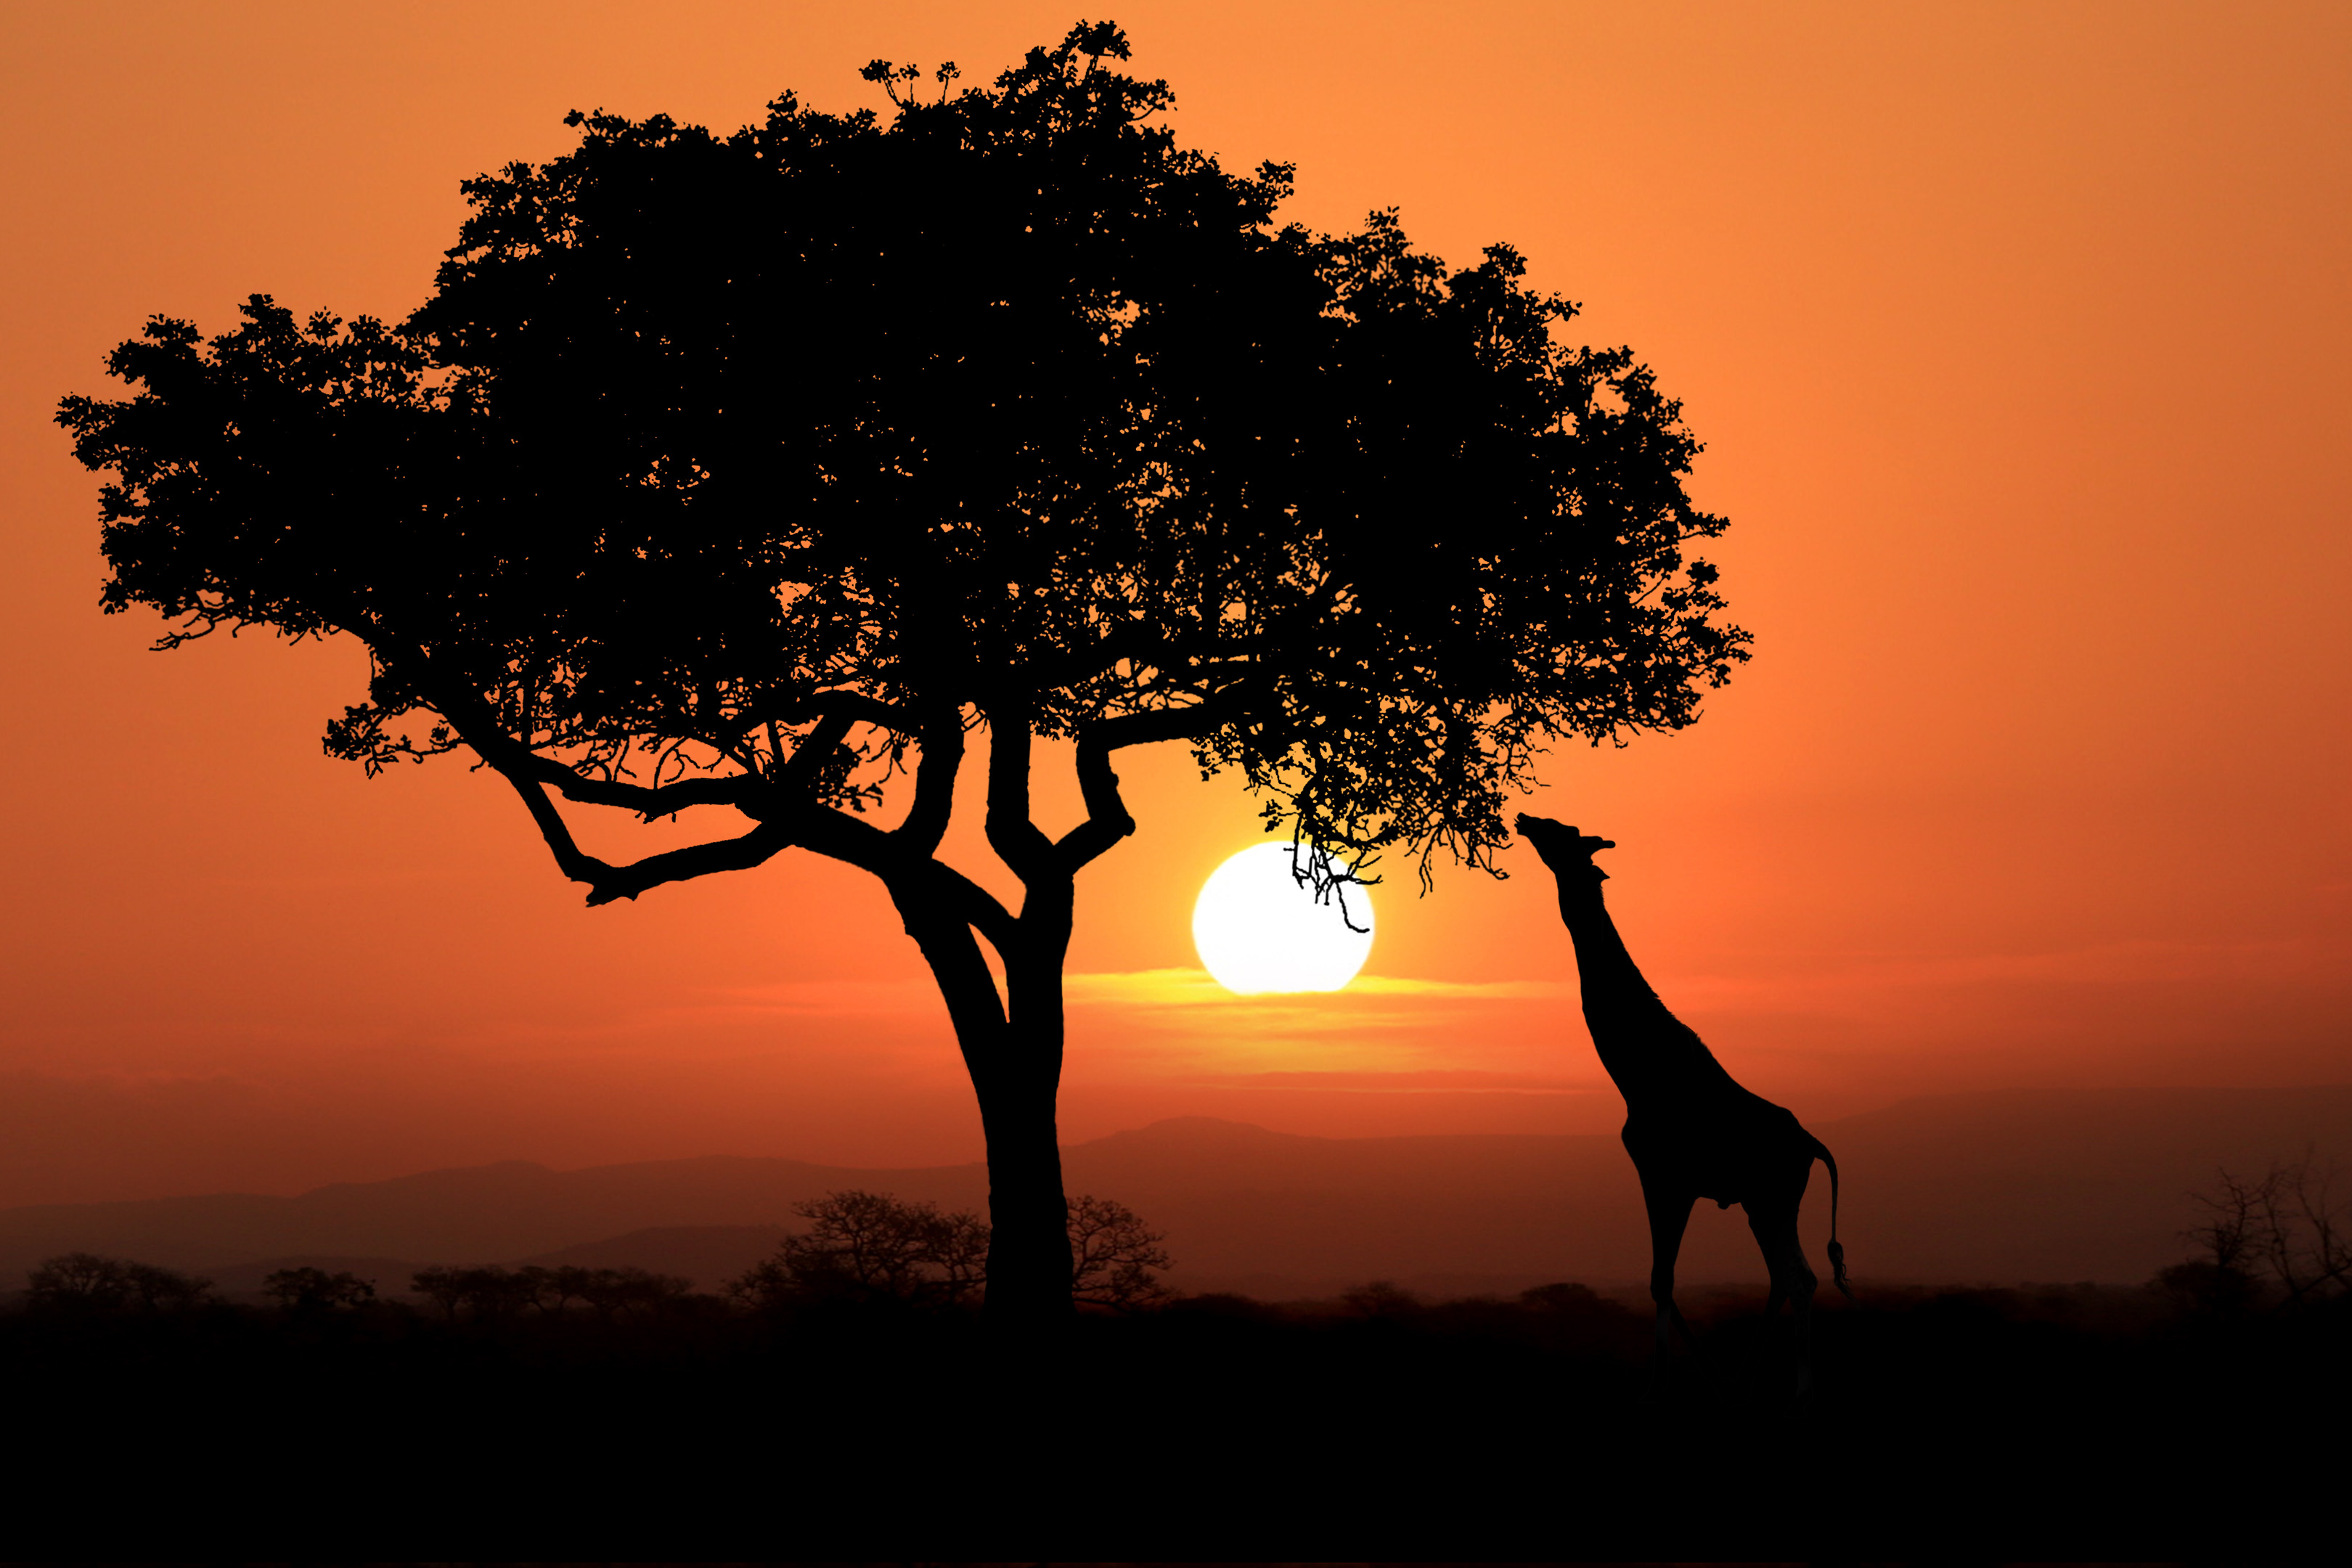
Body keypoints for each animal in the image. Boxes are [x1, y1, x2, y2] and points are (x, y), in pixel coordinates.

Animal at [1516, 813, 1850, 1386]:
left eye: (1564, 834)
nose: (1525, 819)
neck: (1640, 1072)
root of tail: (1811, 1144)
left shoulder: (1664, 1176)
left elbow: (1661, 1281)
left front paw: (1666, 1377)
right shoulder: (1671, 1181)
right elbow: (1662, 1281)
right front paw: (1705, 1371)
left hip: (1772, 1196)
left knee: (1798, 1278)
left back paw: (1795, 1385)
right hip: (1765, 1202)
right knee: (1787, 1277)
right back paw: (1743, 1374)